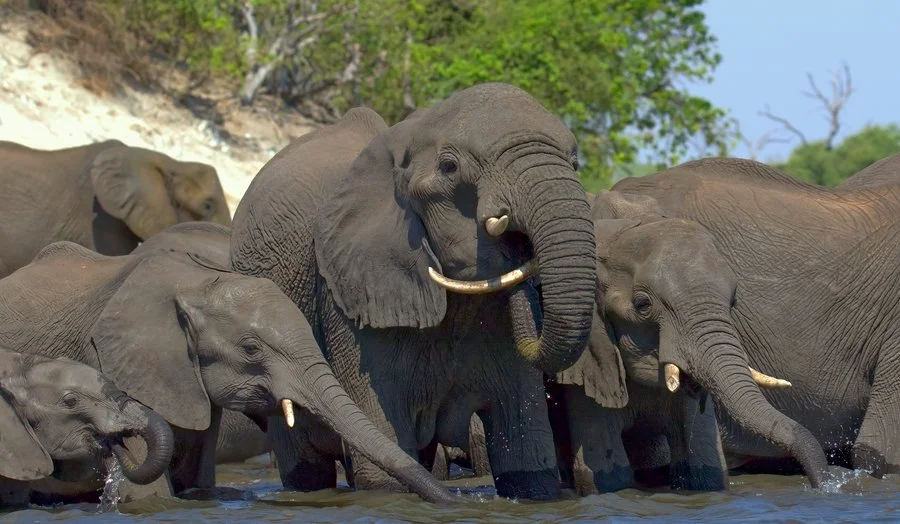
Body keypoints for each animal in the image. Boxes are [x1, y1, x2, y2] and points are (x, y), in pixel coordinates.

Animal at [230, 83, 597, 500]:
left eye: (574, 162)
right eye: (450, 167)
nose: (517, 245)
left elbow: (527, 461)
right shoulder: (350, 293)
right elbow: (384, 466)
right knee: (306, 467)